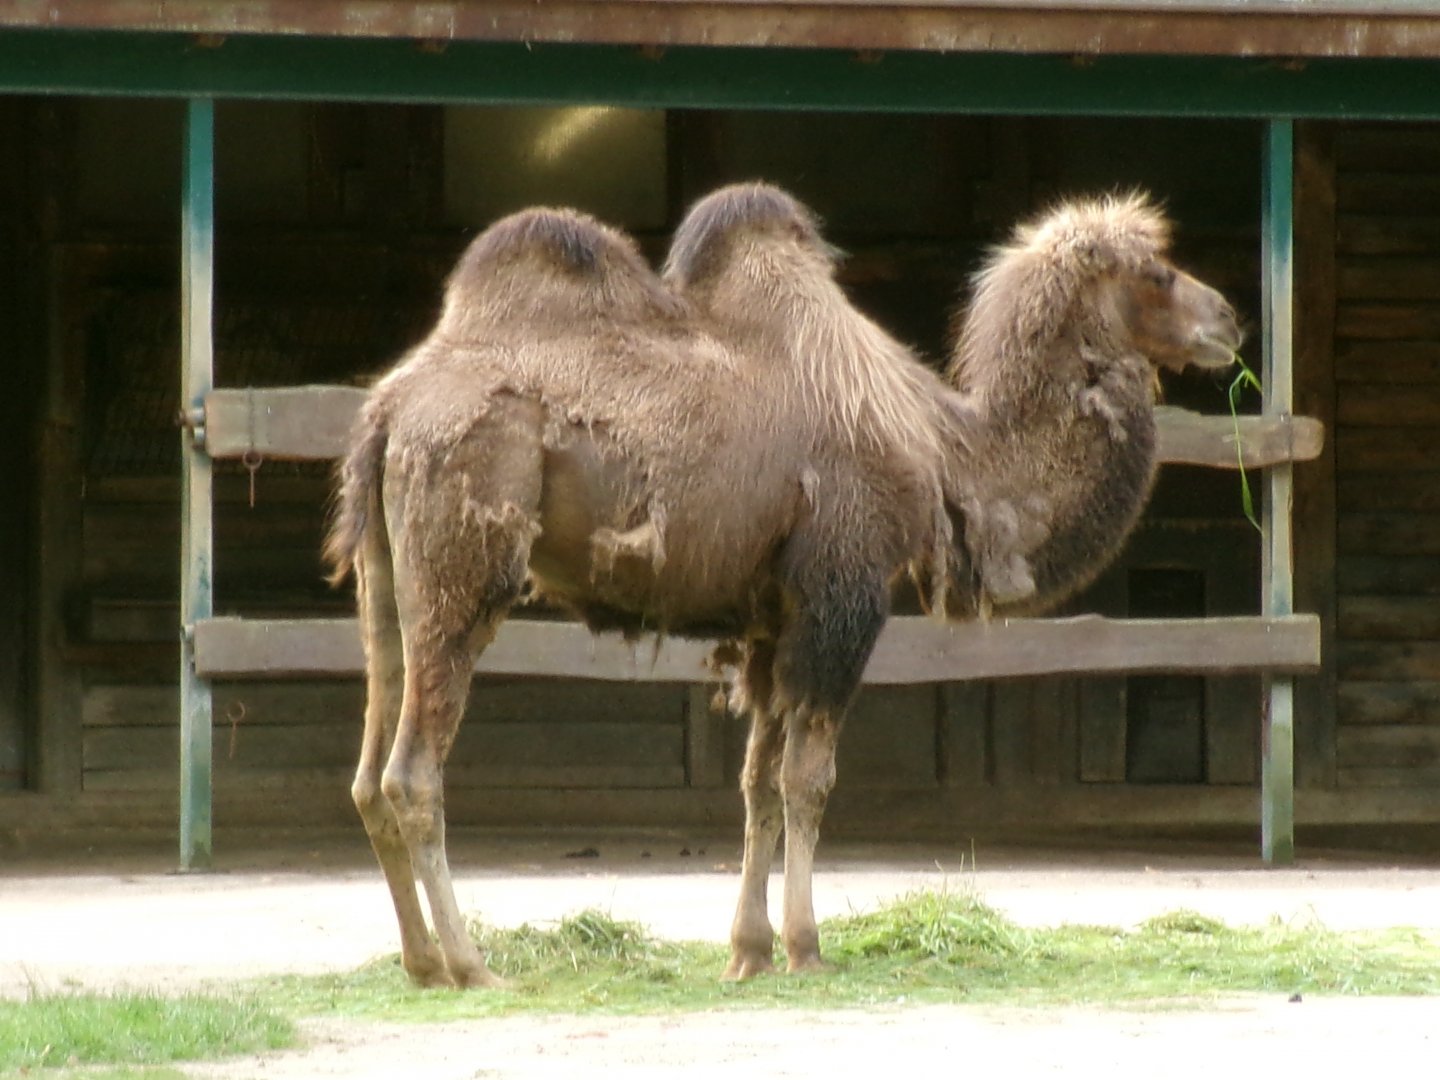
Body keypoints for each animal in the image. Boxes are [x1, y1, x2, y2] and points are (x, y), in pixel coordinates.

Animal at [324, 183, 1241, 988]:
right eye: (1157, 272)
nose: (1229, 319)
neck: (948, 456)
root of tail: (389, 412)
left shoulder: (770, 618)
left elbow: (757, 786)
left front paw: (749, 952)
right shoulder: (842, 597)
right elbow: (810, 780)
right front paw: (806, 948)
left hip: (385, 580)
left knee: (369, 771)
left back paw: (420, 964)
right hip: (462, 563)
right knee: (413, 773)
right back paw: (471, 965)